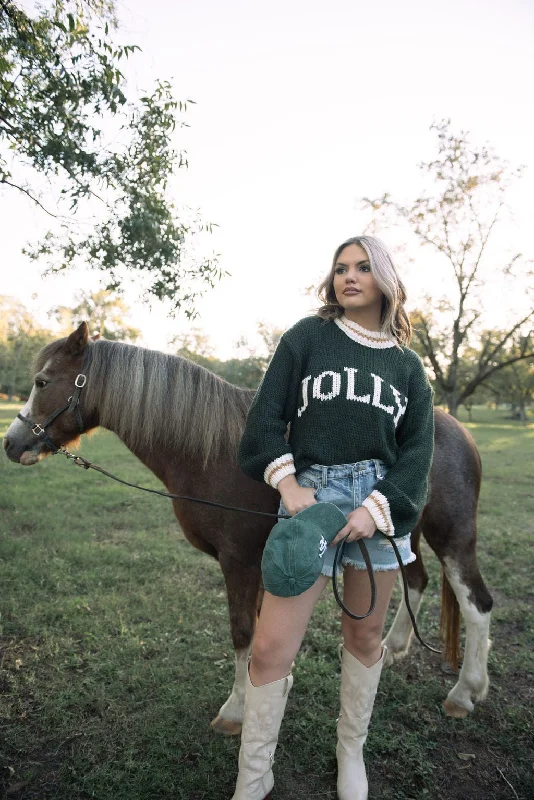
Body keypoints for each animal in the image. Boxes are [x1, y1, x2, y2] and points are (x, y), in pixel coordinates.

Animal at [3, 324, 494, 732]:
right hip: (400, 536)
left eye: (42, 382)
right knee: (418, 580)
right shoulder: (260, 563)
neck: (213, 452)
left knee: (477, 604)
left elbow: (242, 632)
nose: (12, 443)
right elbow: (259, 634)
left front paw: (237, 711)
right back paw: (394, 649)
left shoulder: (239, 562)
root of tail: (458, 430)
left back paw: (465, 692)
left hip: (451, 537)